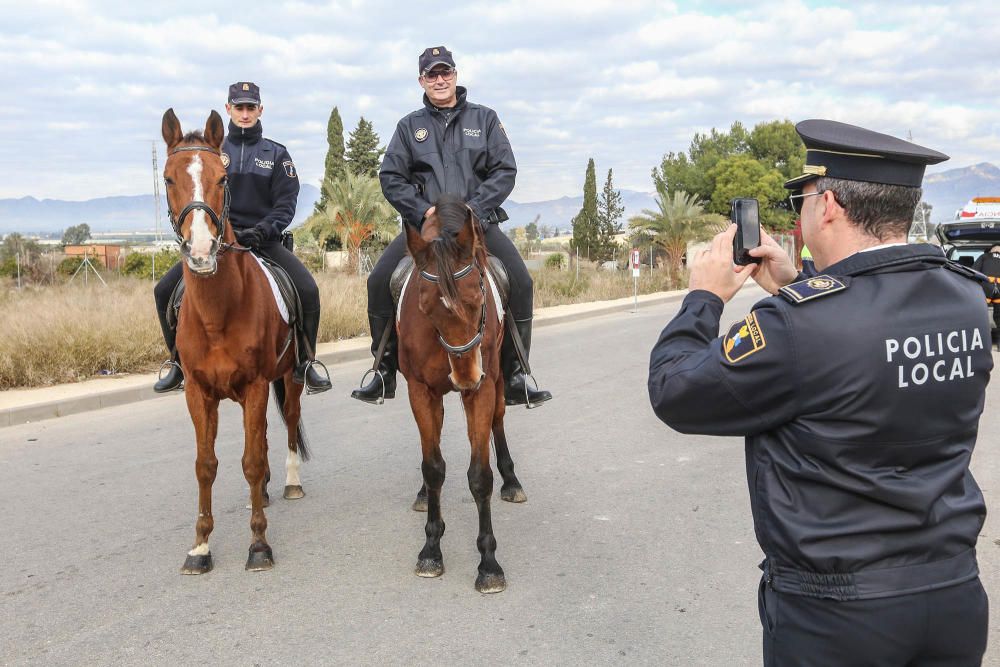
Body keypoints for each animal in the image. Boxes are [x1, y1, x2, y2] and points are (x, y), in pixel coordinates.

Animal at [161, 109, 308, 576]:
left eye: (223, 178)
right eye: (168, 178)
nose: (202, 251)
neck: (216, 313)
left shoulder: (257, 385)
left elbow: (251, 460)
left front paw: (259, 545)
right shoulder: (198, 391)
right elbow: (206, 465)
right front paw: (200, 547)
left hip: (290, 378)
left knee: (289, 423)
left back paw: (290, 483)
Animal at [398, 194, 528, 596]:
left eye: (478, 296)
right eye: (425, 307)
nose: (466, 374)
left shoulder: (482, 391)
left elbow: (479, 476)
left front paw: (488, 563)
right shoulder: (420, 391)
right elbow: (433, 467)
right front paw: (431, 548)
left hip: (497, 382)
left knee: (498, 422)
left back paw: (512, 482)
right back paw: (422, 495)